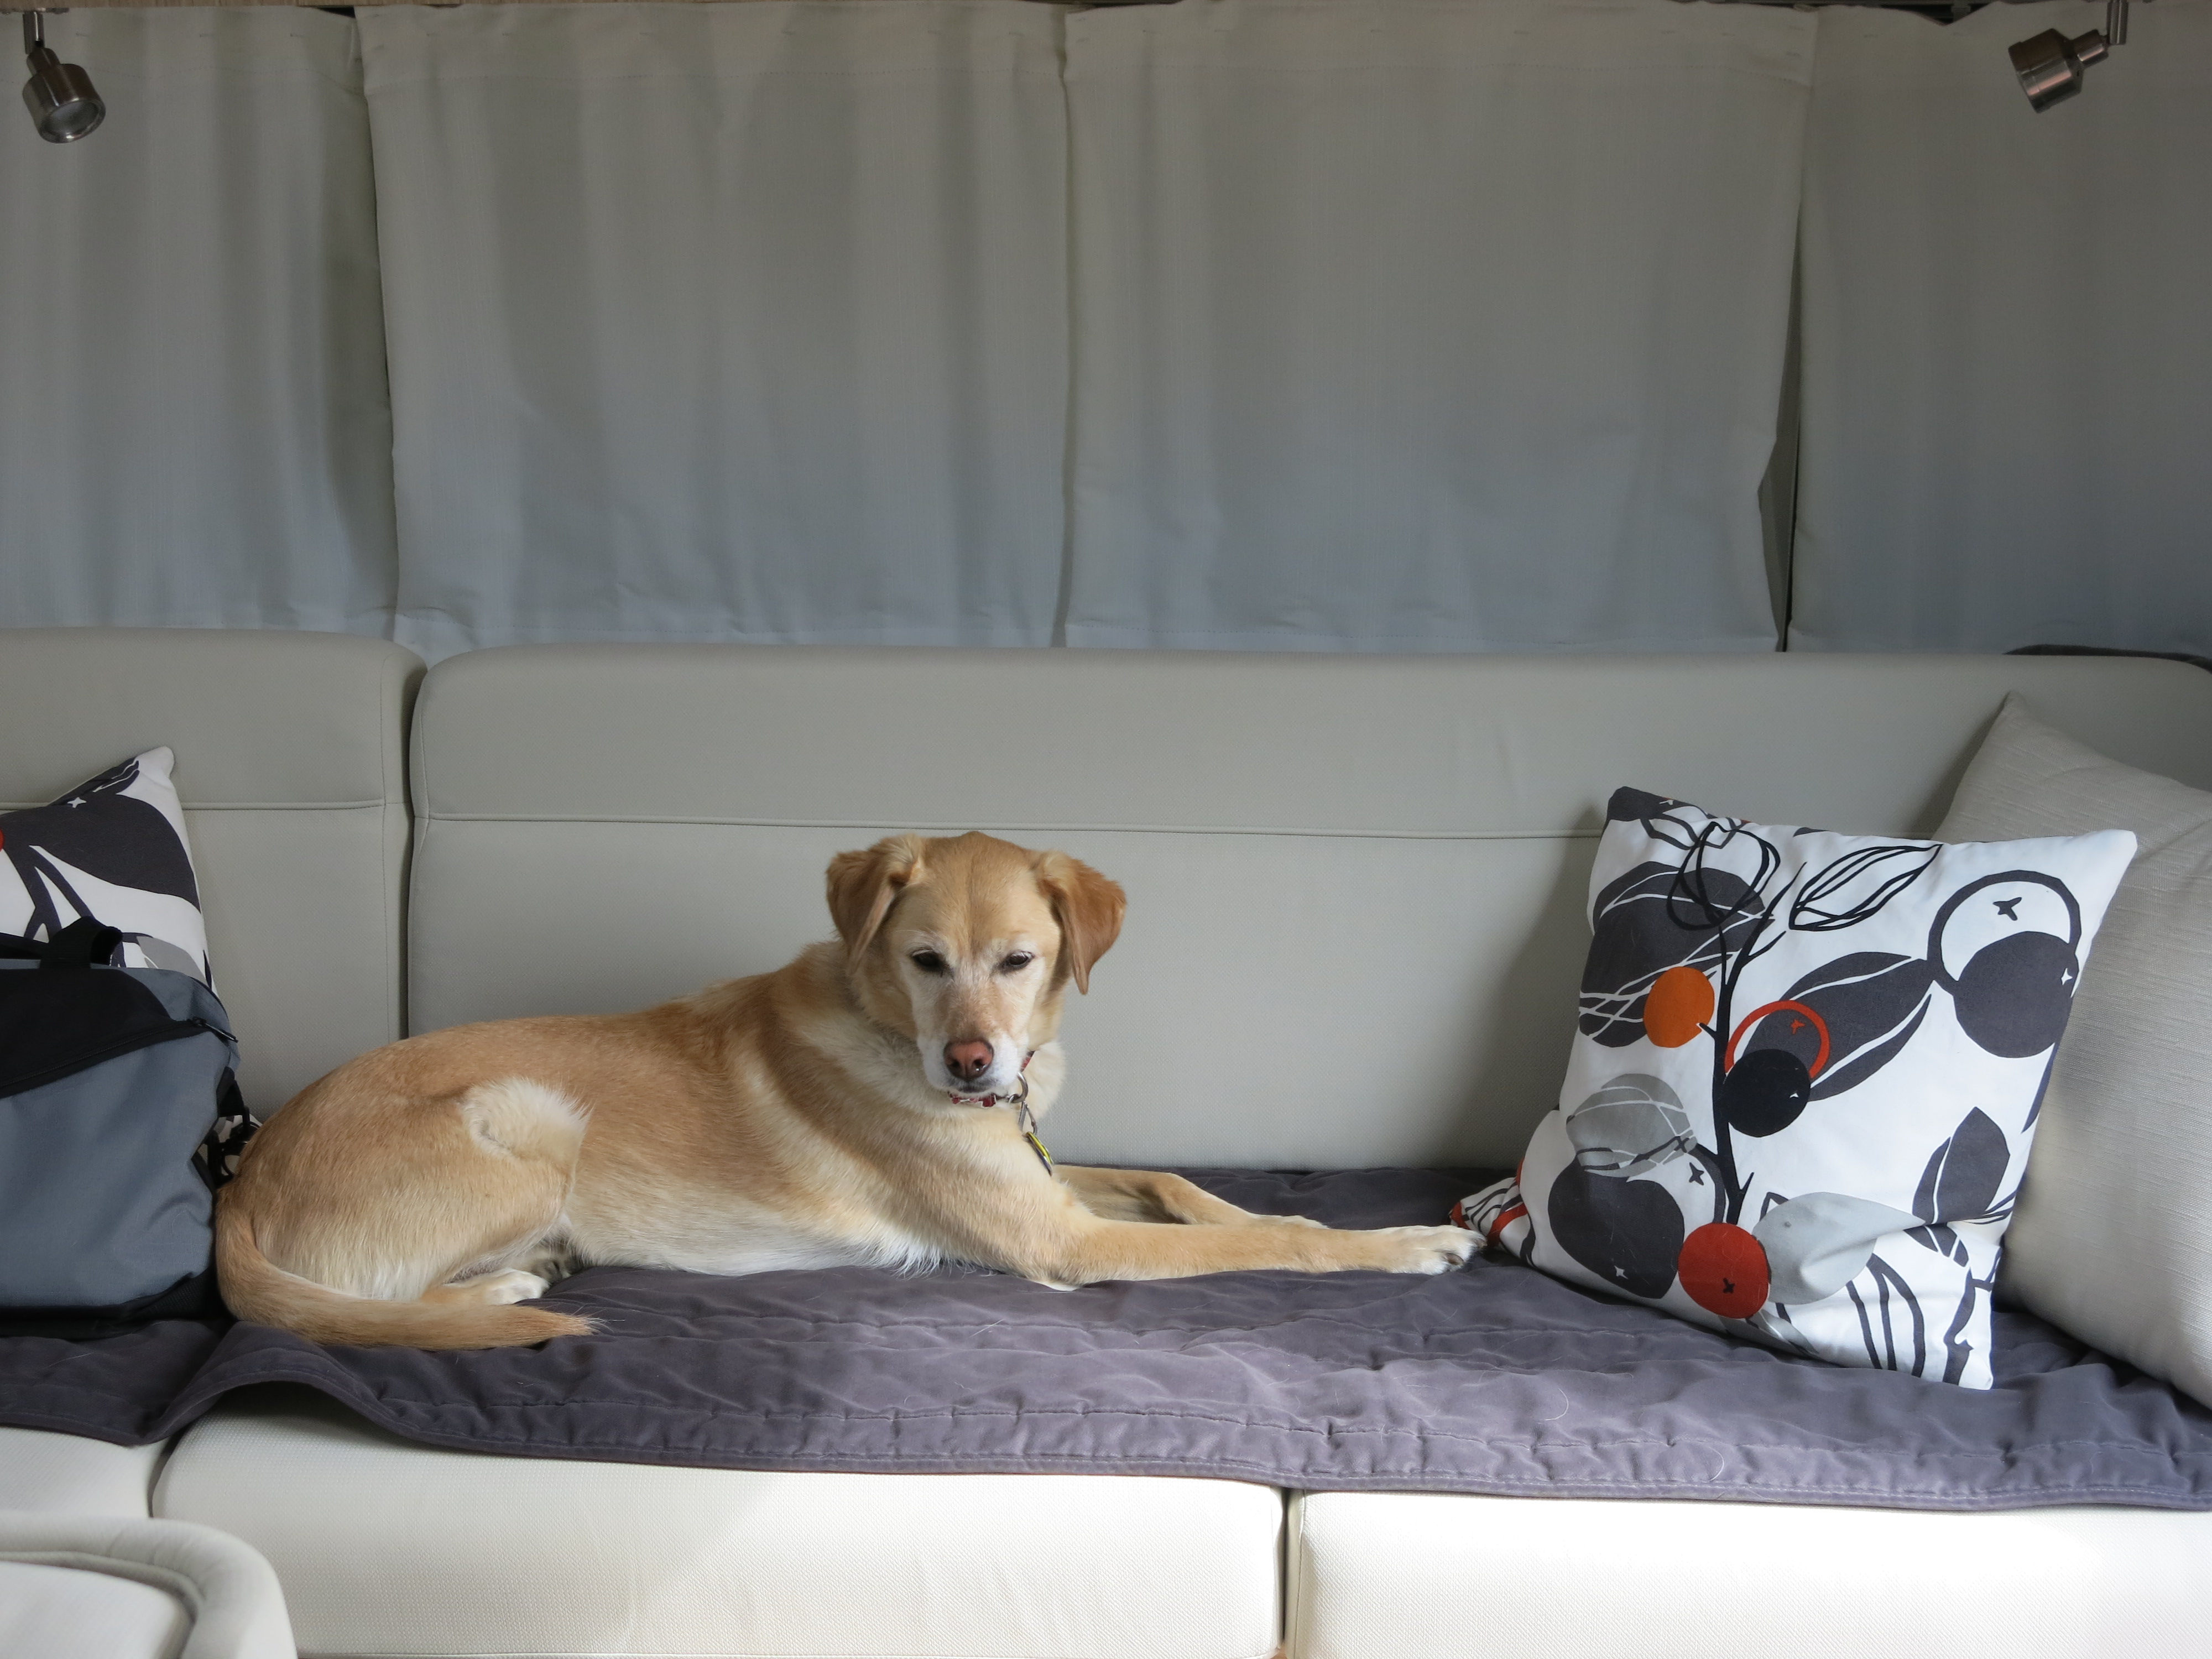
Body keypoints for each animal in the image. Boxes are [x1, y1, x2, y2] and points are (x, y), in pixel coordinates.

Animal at [216, 831, 1476, 1349]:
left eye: (1019, 960)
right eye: (925, 960)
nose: (974, 1067)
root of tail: (240, 1181)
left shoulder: (1050, 1180)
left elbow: (1183, 1187)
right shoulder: (1062, 1241)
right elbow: (1270, 1241)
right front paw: (1407, 1243)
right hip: (532, 1123)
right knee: (387, 1303)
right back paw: (512, 1286)